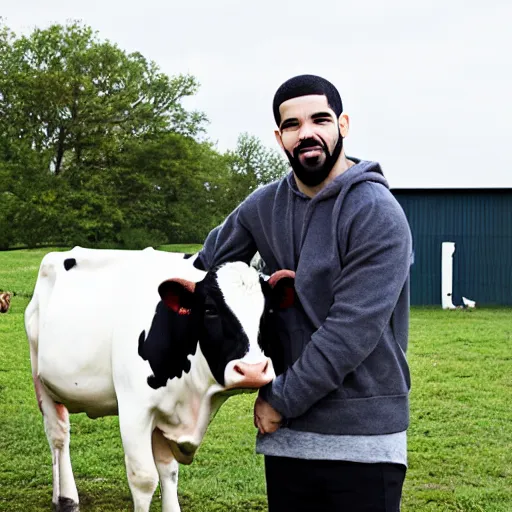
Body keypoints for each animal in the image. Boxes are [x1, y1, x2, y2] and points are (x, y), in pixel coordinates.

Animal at [25, 246, 292, 510]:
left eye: (269, 311)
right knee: (58, 437)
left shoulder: (167, 413)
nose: (252, 370)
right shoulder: (134, 410)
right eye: (210, 310)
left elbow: (168, 471)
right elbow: (144, 479)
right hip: (41, 382)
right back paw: (66, 498)